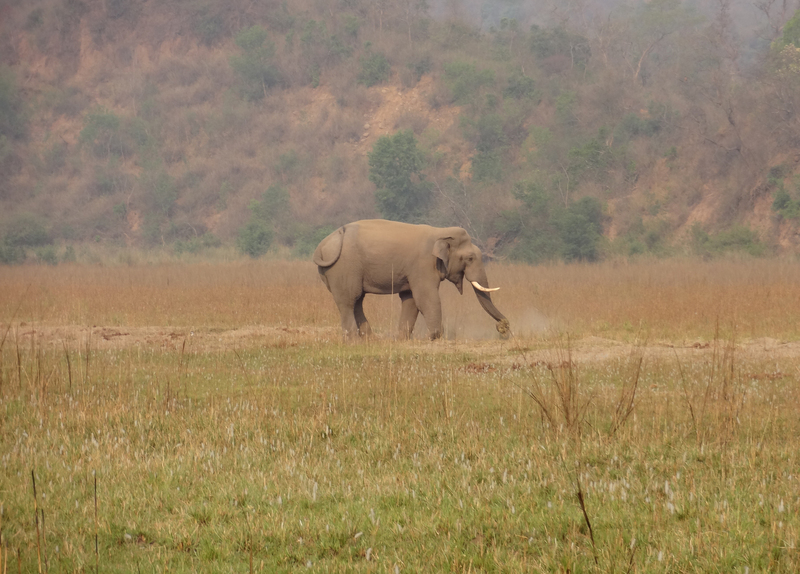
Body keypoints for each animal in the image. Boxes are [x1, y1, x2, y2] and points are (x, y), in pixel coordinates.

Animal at [314, 219, 512, 338]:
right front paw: (435, 337)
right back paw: (354, 341)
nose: (503, 327)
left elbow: (410, 300)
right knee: (348, 301)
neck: (440, 232)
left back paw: (370, 340)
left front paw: (402, 339)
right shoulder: (423, 265)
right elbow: (426, 298)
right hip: (342, 268)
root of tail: (321, 246)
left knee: (357, 301)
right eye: (470, 258)